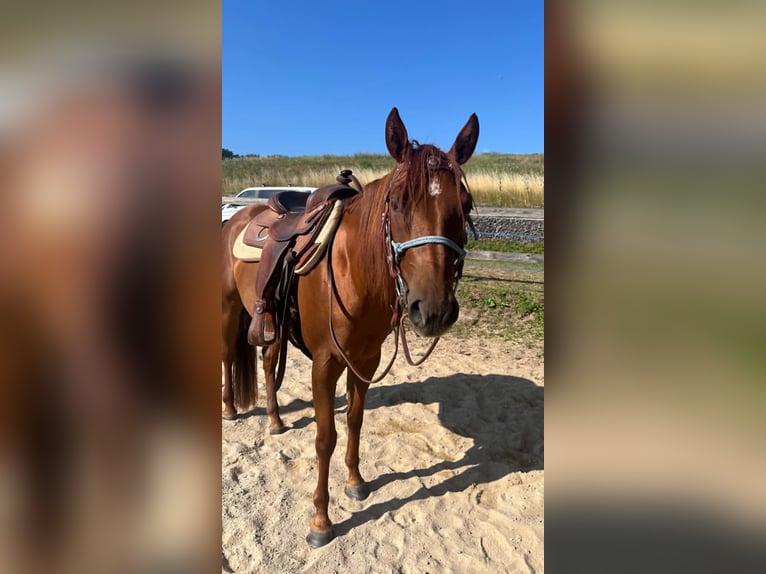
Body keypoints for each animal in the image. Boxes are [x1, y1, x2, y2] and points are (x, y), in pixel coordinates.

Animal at [221, 107, 479, 547]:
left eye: (465, 205)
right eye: (397, 202)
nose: (434, 310)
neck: (352, 271)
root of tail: (237, 214)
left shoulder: (365, 360)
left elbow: (355, 421)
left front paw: (357, 482)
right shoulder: (324, 365)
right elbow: (325, 437)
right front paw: (321, 521)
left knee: (269, 362)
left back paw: (274, 420)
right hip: (226, 308)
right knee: (225, 355)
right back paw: (229, 409)